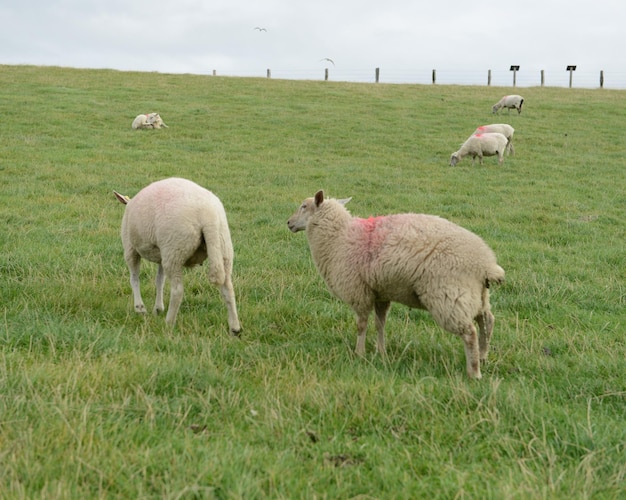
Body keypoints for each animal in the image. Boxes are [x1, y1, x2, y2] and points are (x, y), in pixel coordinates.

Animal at [113, 178, 240, 334]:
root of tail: (207, 215)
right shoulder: (161, 255)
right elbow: (159, 280)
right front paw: (158, 308)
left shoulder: (130, 248)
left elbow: (134, 279)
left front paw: (140, 308)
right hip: (222, 247)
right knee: (228, 288)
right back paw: (235, 328)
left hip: (174, 248)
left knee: (178, 290)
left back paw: (169, 323)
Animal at [286, 191, 502, 378]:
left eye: (304, 206)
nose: (288, 222)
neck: (338, 238)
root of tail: (486, 264)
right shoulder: (381, 293)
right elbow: (380, 324)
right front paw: (381, 352)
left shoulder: (359, 292)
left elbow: (361, 325)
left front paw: (359, 353)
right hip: (476, 295)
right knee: (487, 321)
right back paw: (483, 357)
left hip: (449, 296)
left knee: (470, 332)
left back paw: (474, 372)